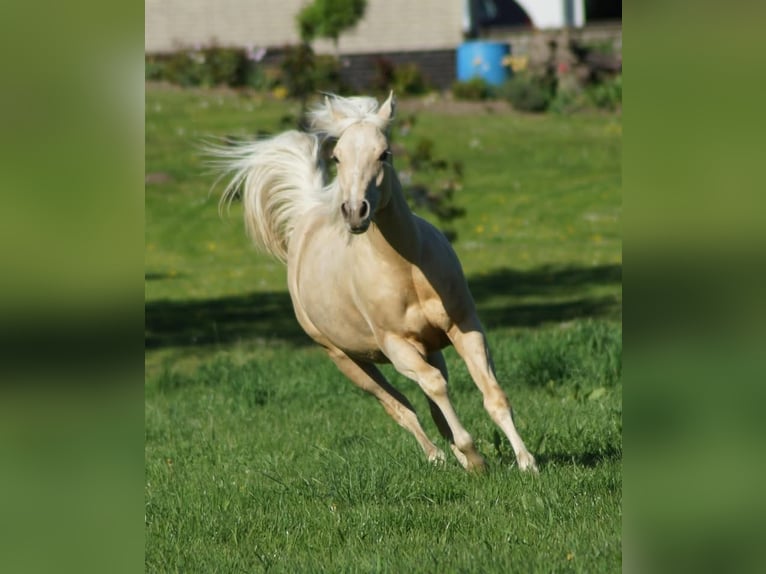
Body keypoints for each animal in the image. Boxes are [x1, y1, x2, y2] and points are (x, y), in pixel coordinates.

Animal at [214, 92, 537, 472]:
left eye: (384, 153)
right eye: (337, 157)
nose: (355, 212)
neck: (407, 269)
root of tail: (306, 215)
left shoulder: (465, 327)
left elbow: (491, 395)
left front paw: (525, 462)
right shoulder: (395, 346)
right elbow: (434, 387)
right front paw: (473, 457)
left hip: (428, 347)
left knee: (431, 404)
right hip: (347, 360)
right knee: (401, 408)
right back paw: (438, 457)